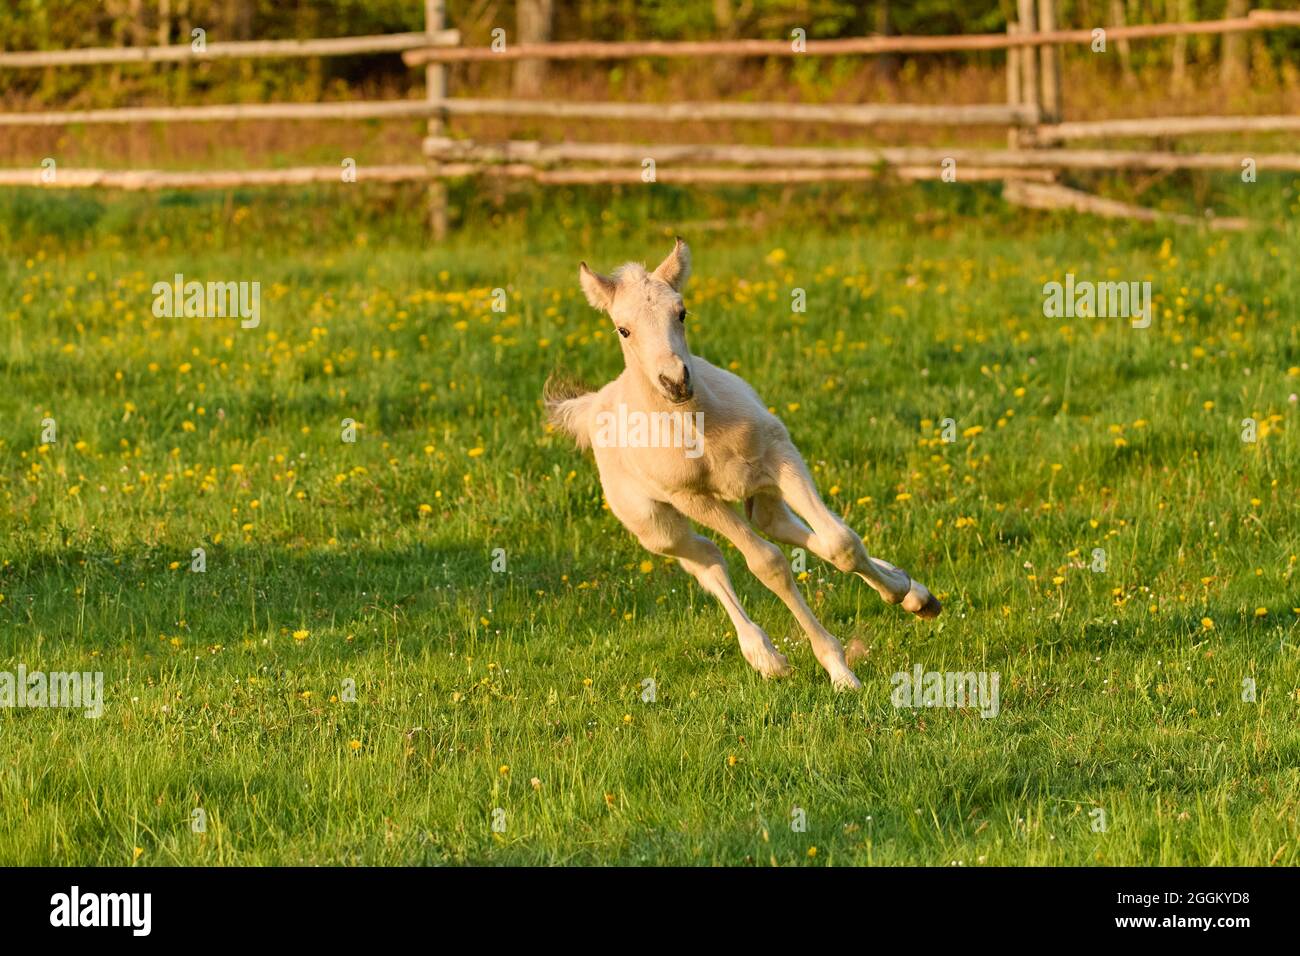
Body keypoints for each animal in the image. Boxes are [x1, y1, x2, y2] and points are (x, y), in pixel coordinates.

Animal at [543, 238, 941, 686]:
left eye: (681, 312)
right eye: (622, 329)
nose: (675, 382)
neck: (699, 428)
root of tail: (596, 401)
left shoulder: (780, 455)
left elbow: (841, 543)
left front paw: (903, 595)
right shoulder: (691, 498)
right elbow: (767, 563)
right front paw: (838, 671)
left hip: (759, 488)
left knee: (777, 525)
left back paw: (911, 589)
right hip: (653, 524)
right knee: (706, 559)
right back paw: (764, 656)